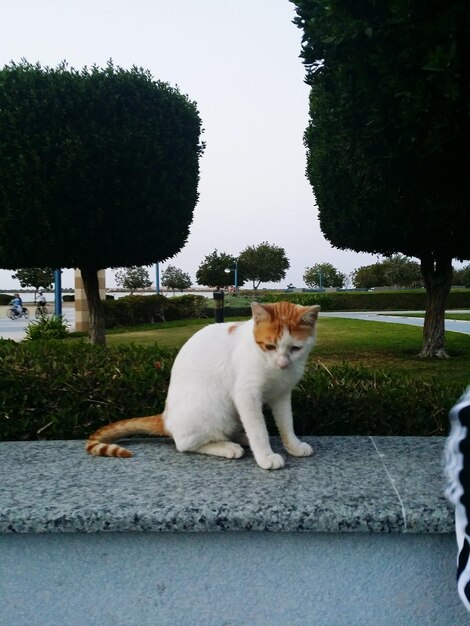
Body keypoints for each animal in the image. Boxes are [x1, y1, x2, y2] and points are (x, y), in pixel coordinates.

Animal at [85, 298, 320, 468]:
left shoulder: (282, 395)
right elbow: (259, 429)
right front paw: (265, 456)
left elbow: (286, 424)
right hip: (214, 410)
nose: (282, 363)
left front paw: (293, 446)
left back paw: (240, 438)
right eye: (269, 346)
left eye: (295, 349)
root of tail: (166, 417)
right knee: (185, 444)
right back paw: (227, 447)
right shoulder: (246, 395)